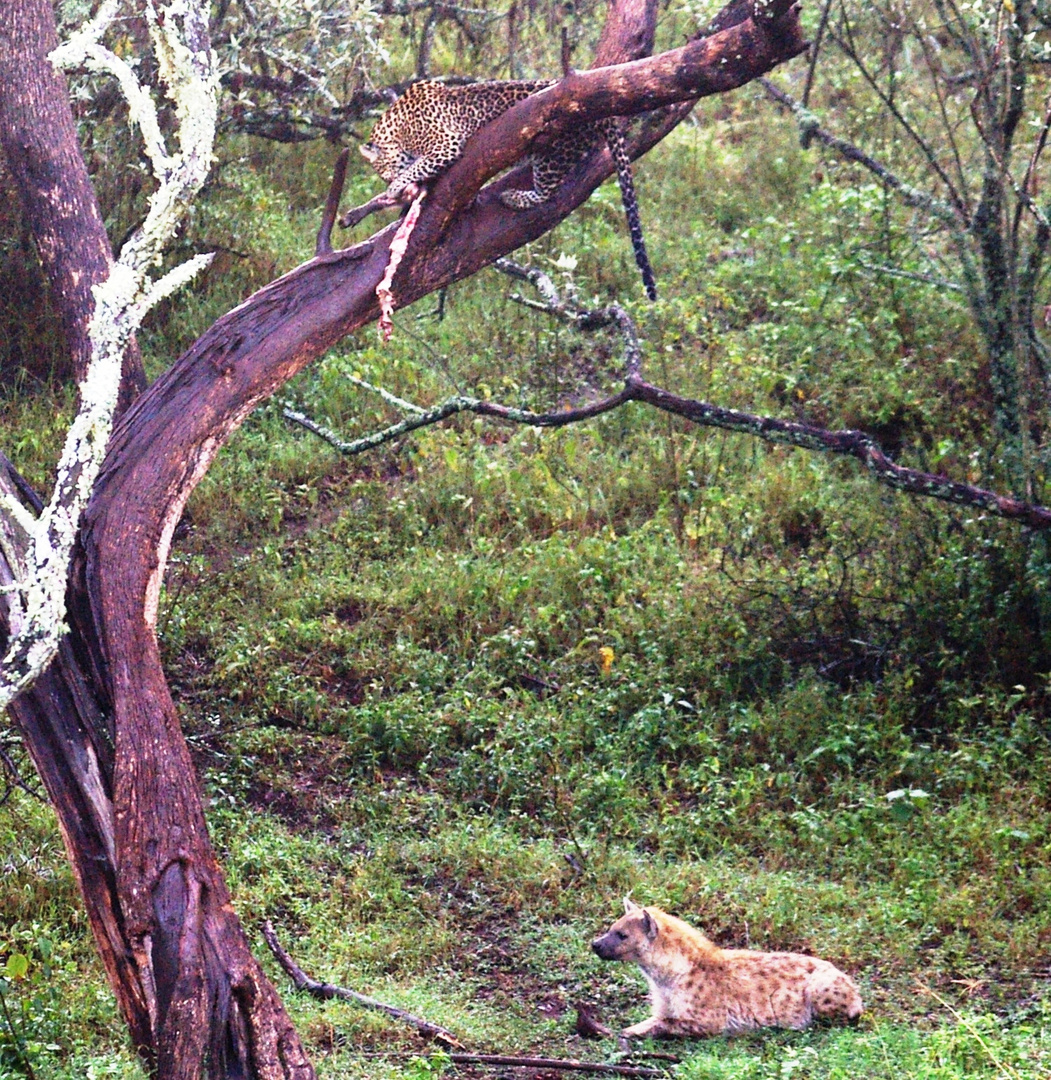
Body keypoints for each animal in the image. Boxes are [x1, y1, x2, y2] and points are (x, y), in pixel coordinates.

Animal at [360, 79, 656, 300]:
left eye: (384, 172)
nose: (391, 186)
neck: (398, 125)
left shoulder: (446, 145)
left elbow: (414, 168)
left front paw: (396, 188)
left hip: (552, 153)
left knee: (548, 192)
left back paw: (513, 196)